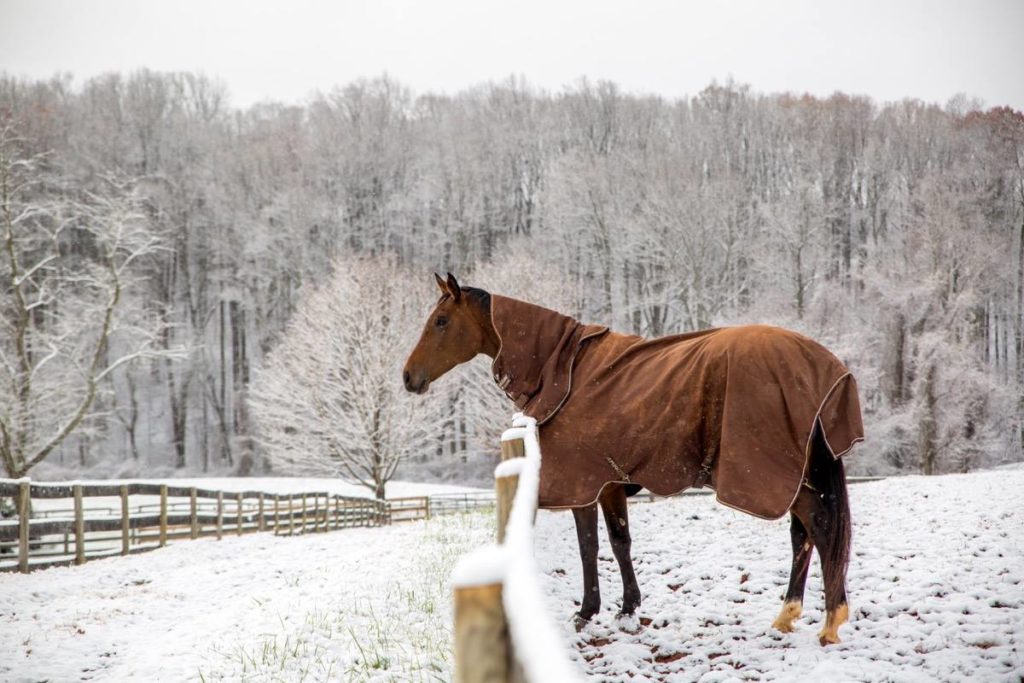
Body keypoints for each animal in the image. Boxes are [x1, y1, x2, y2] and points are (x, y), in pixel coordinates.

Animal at [403, 274, 860, 647]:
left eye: (440, 321)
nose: (409, 377)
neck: (565, 370)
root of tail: (822, 364)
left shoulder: (582, 484)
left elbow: (590, 545)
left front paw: (587, 612)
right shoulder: (609, 484)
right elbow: (620, 542)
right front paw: (628, 609)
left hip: (777, 477)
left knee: (819, 526)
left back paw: (829, 623)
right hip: (796, 477)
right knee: (802, 535)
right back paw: (787, 616)